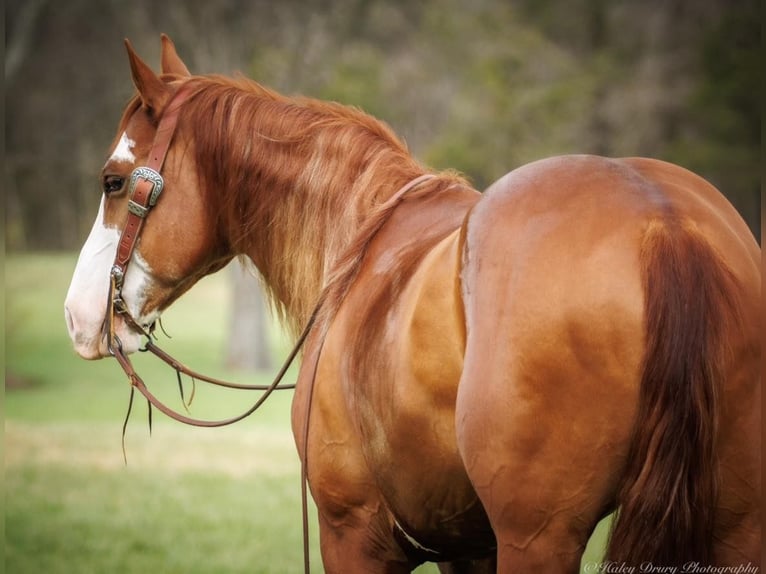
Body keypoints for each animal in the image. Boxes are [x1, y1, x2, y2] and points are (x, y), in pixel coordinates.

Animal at [66, 37, 760, 574]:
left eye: (113, 180)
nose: (78, 315)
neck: (358, 242)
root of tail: (662, 221)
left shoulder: (354, 533)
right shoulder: (469, 547)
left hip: (540, 537)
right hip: (734, 526)